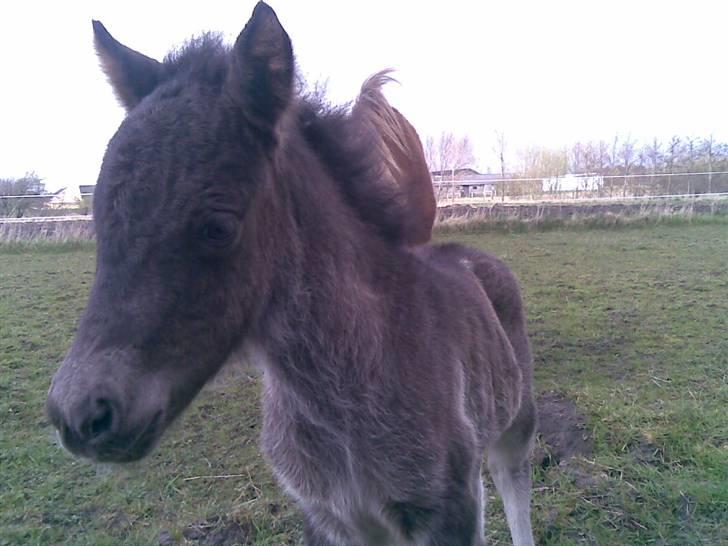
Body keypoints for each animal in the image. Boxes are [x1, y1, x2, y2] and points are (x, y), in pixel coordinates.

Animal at [45, 5, 536, 544]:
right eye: (100, 217)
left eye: (218, 227)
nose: (79, 416)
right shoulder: (328, 517)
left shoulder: (448, 509)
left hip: (516, 427)